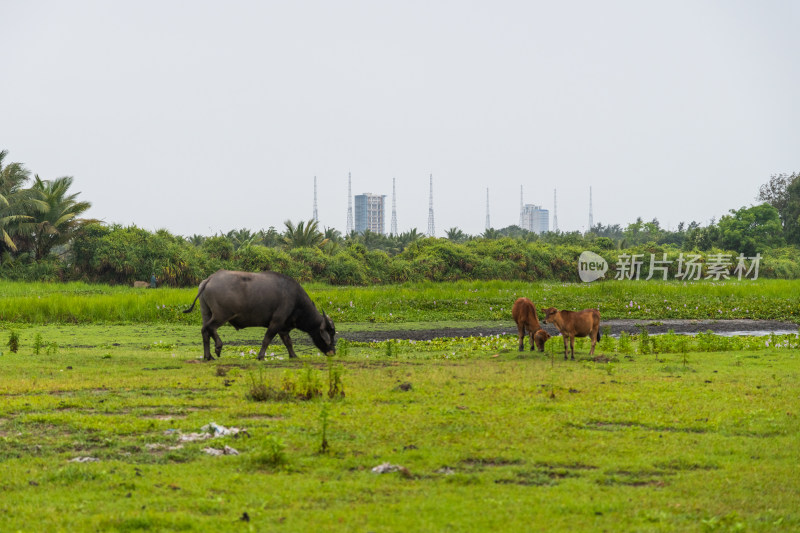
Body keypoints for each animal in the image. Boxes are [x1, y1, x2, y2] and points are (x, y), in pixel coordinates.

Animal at [183, 268, 336, 360]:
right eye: (330, 333)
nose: (333, 352)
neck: (296, 300)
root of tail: (211, 278)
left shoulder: (283, 327)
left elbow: (288, 342)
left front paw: (294, 355)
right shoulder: (276, 322)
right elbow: (266, 339)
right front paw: (261, 356)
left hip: (206, 312)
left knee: (205, 332)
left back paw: (208, 356)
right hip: (221, 315)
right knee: (209, 328)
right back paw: (218, 347)